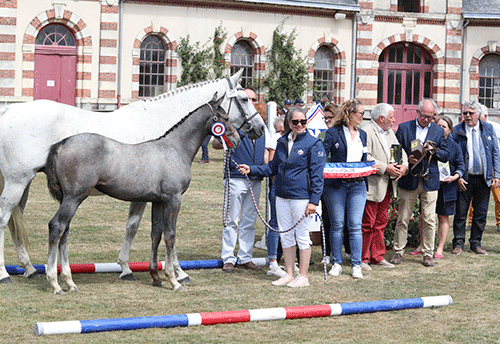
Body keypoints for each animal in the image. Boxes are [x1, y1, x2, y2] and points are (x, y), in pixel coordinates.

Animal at [44, 94, 237, 296]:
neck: (175, 149)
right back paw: (55, 283)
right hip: (73, 198)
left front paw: (156, 277)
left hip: (69, 199)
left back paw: (69, 281)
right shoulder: (173, 199)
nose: (238, 139)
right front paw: (173, 279)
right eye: (225, 118)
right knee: (56, 227)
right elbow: (170, 235)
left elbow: (156, 234)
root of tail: (62, 144)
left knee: (64, 231)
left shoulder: (158, 202)